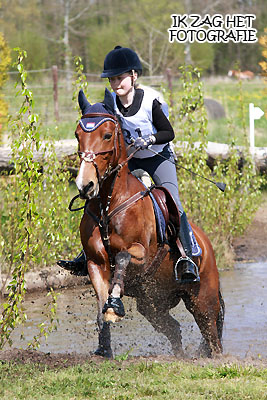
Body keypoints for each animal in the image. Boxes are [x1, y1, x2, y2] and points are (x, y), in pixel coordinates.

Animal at [74, 89, 226, 358]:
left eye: (107, 135)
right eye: (77, 135)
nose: (85, 185)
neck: (109, 203)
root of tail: (206, 245)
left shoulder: (142, 255)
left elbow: (122, 257)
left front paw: (115, 304)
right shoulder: (95, 261)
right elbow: (101, 299)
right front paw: (105, 343)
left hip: (203, 299)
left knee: (211, 334)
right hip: (152, 303)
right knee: (173, 329)